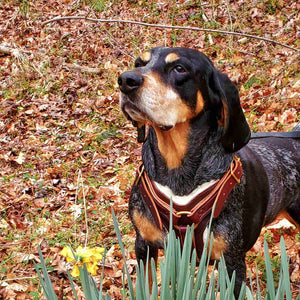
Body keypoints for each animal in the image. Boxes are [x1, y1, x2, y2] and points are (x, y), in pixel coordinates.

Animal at [117, 47, 300, 296]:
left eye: (179, 68)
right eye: (139, 63)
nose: (126, 80)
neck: (177, 172)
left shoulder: (232, 265)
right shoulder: (144, 244)